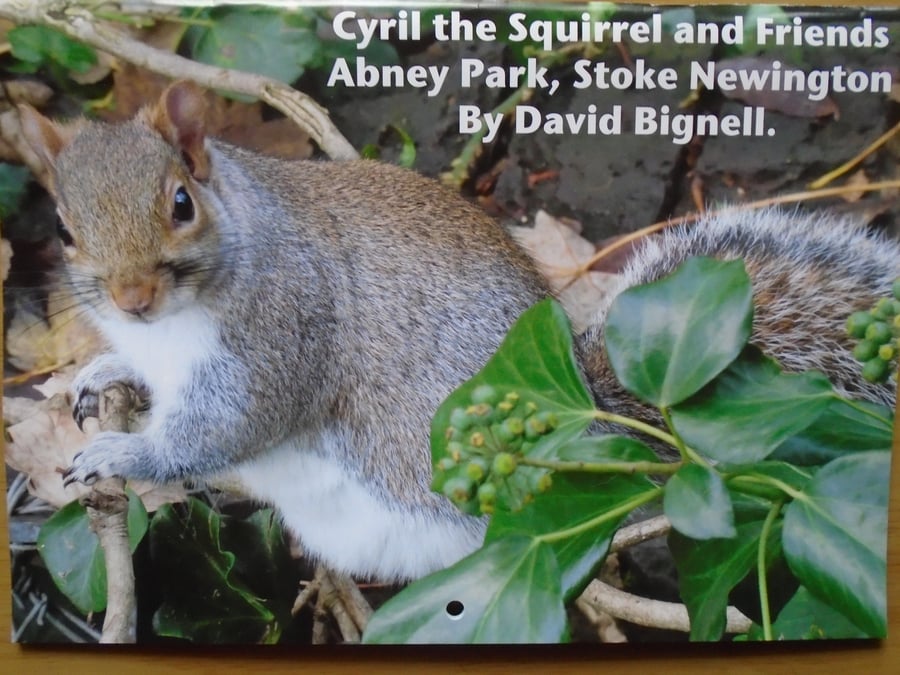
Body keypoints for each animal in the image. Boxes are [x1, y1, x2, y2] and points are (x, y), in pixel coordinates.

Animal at [18, 81, 898, 582]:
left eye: (180, 203)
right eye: (62, 229)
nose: (131, 296)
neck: (169, 327)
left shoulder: (283, 331)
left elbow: (226, 427)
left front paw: (126, 452)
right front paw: (101, 374)